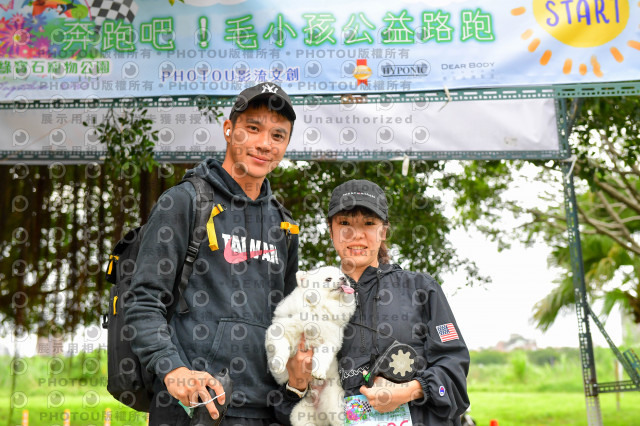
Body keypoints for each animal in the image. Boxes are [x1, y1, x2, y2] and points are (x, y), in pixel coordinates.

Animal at [264, 266, 356, 426]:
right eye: (328, 279)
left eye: (342, 275)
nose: (344, 279)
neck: (317, 310)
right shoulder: (279, 331)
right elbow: (282, 347)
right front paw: (278, 363)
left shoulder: (329, 340)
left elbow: (323, 356)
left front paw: (318, 371)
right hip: (299, 414)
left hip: (334, 405)